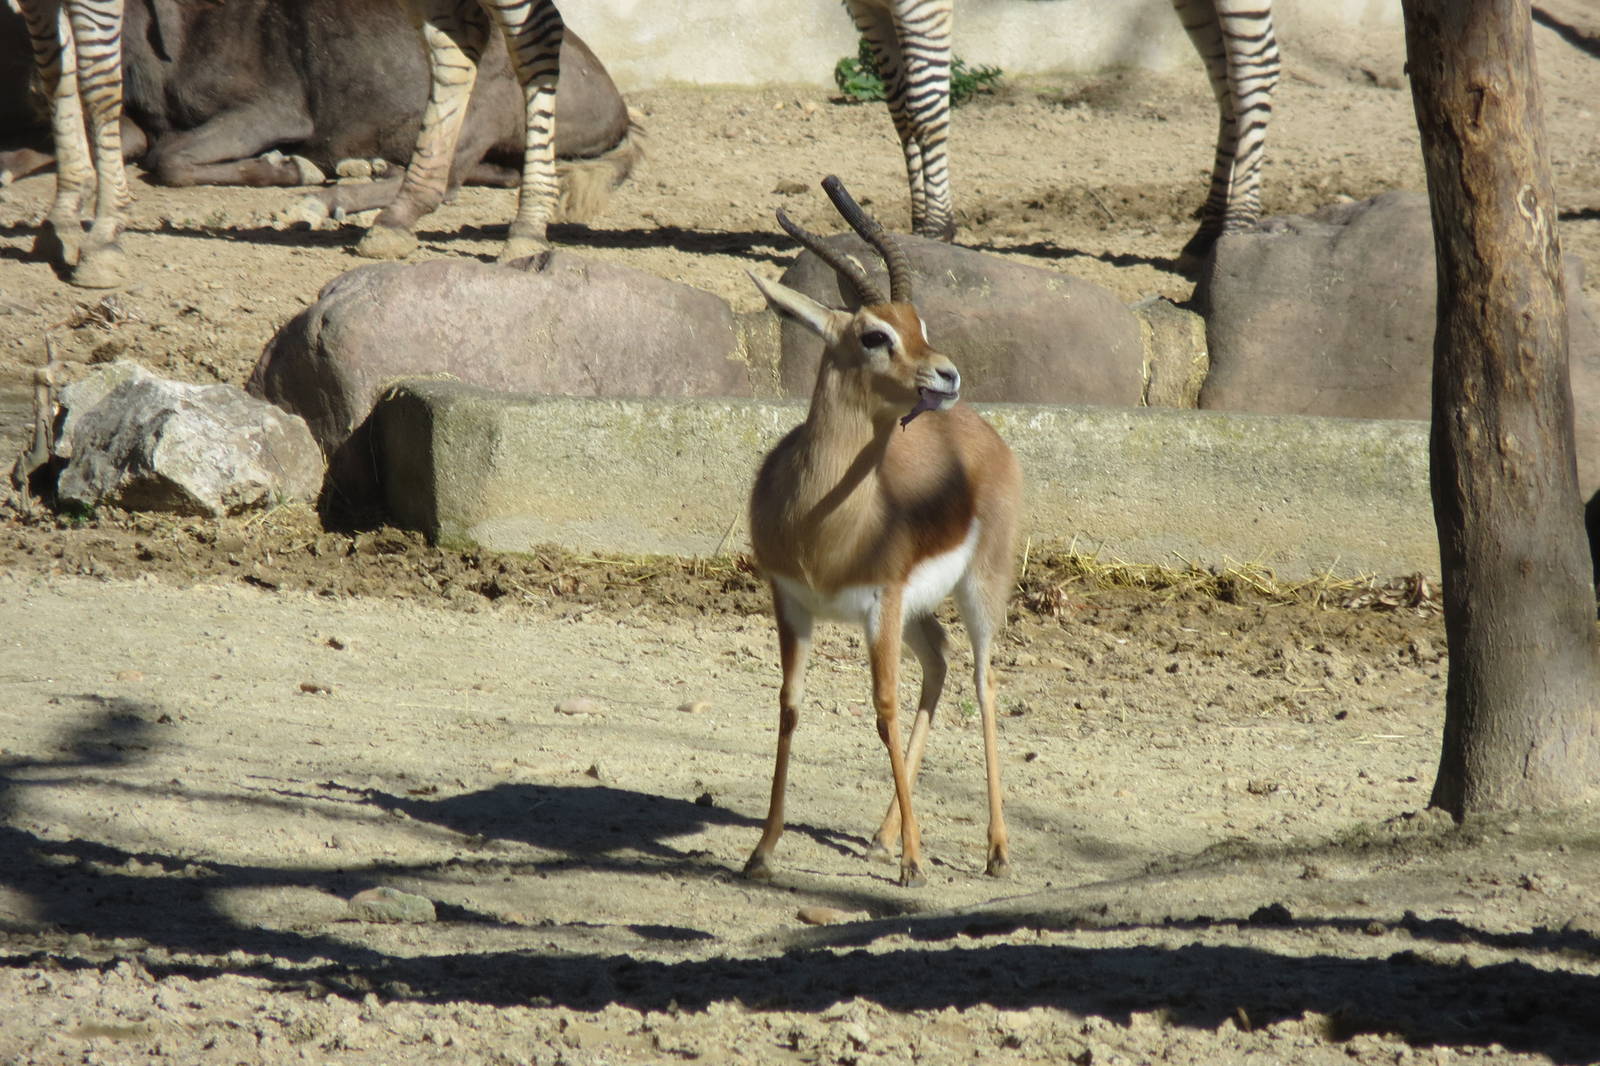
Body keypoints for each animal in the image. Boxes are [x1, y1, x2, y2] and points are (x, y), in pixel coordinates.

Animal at [743, 175, 1022, 888]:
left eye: (918, 325)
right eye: (874, 336)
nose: (945, 375)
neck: (823, 525)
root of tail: (979, 428)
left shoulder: (879, 604)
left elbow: (884, 708)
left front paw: (916, 865)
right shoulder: (790, 601)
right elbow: (789, 704)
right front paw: (762, 850)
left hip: (980, 589)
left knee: (983, 683)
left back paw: (996, 851)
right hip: (918, 611)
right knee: (941, 661)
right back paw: (881, 835)